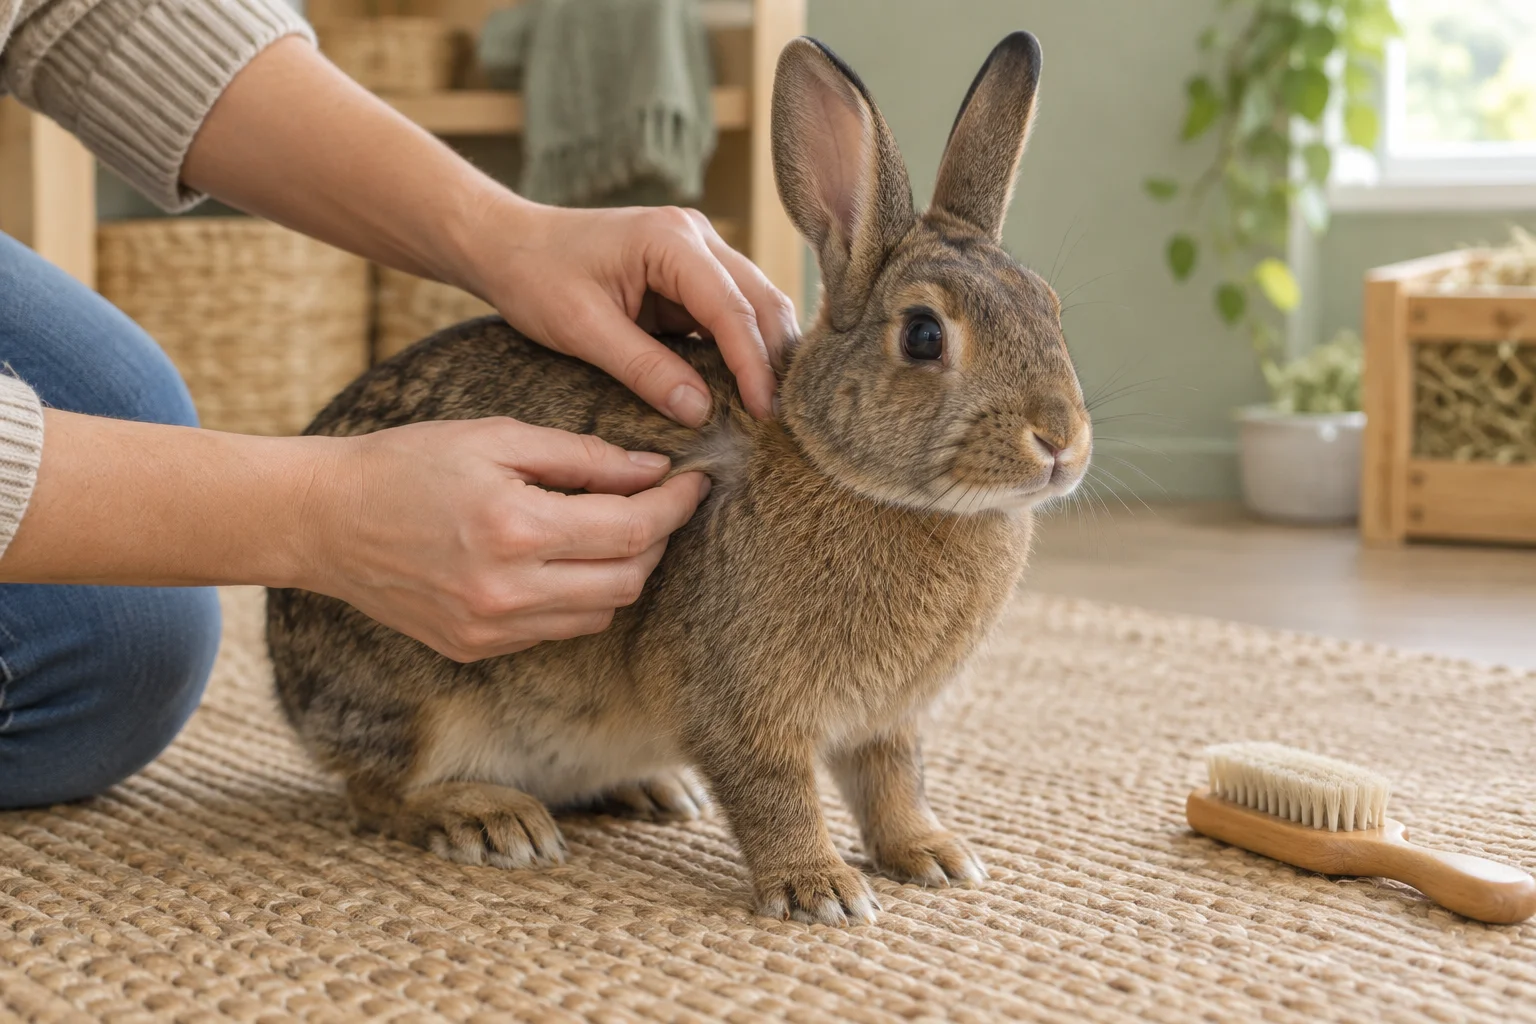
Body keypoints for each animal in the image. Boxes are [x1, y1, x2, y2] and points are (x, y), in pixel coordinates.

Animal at [266, 30, 1091, 926]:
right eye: (923, 336)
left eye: (1050, 308)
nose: (1060, 441)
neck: (839, 466)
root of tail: (283, 673)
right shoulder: (741, 702)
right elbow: (776, 792)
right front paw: (822, 890)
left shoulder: (887, 722)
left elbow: (892, 784)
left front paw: (934, 856)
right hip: (418, 696)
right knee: (376, 792)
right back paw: (489, 822)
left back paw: (652, 791)